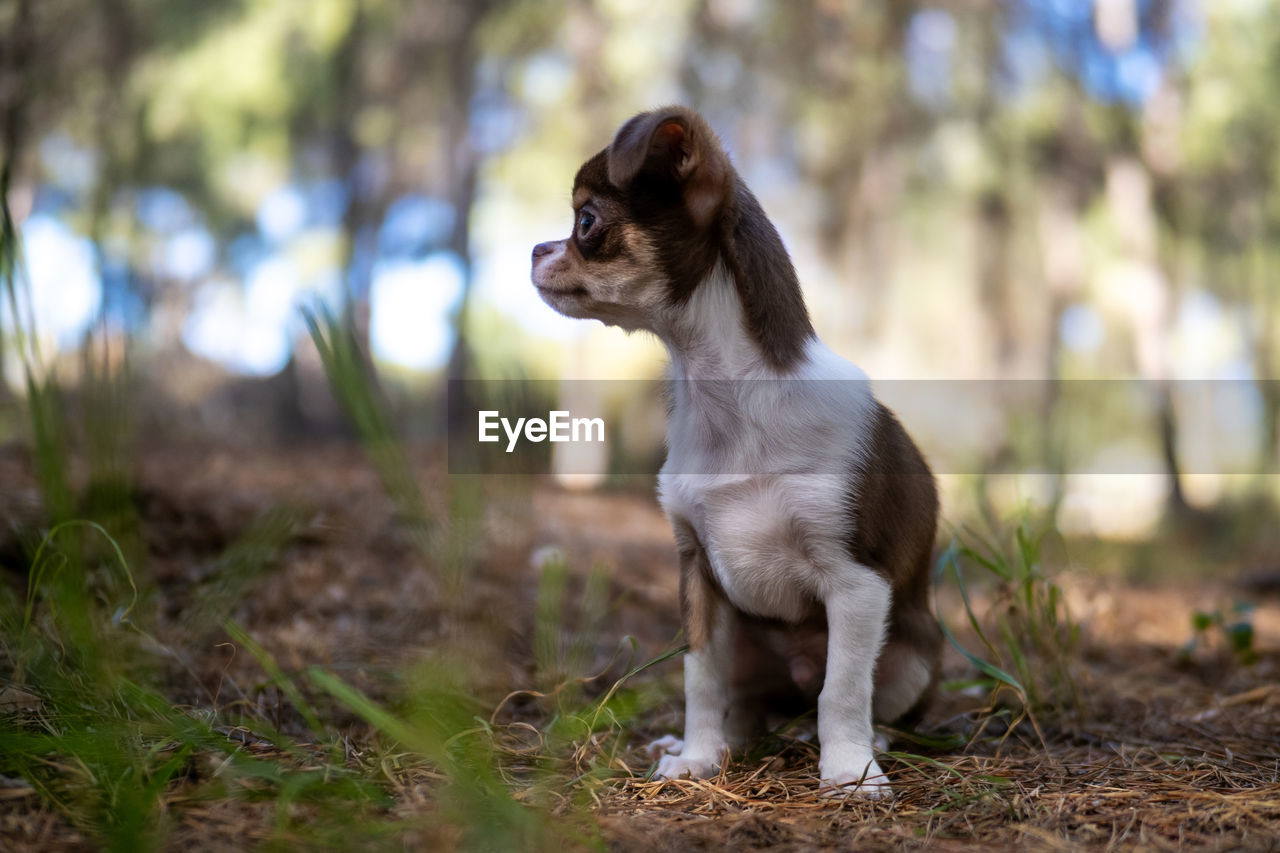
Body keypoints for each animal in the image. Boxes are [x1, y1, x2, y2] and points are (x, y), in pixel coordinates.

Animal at [529, 108, 942, 799]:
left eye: (586, 222)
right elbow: (701, 680)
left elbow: (842, 691)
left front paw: (850, 771)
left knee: (852, 699)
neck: (726, 398)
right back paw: (720, 744)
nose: (535, 249)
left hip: (913, 652)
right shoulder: (697, 574)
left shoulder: (857, 585)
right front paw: (696, 759)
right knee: (744, 702)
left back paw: (868, 743)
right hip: (746, 637)